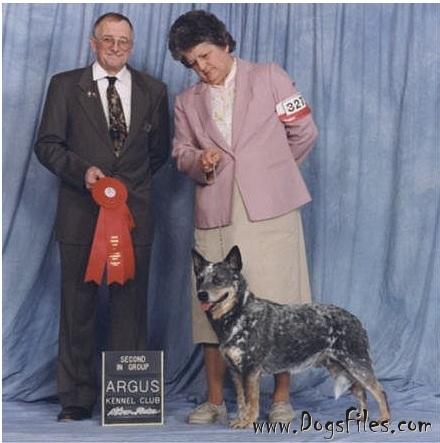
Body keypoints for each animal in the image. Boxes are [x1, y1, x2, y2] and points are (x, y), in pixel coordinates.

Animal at [192, 245, 390, 429]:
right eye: (200, 279)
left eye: (218, 279)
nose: (201, 294)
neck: (239, 315)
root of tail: (356, 319)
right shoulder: (235, 372)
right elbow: (242, 401)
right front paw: (242, 420)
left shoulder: (251, 370)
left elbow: (251, 401)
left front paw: (248, 421)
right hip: (340, 368)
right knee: (361, 391)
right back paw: (362, 418)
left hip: (357, 365)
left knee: (379, 391)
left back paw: (384, 419)